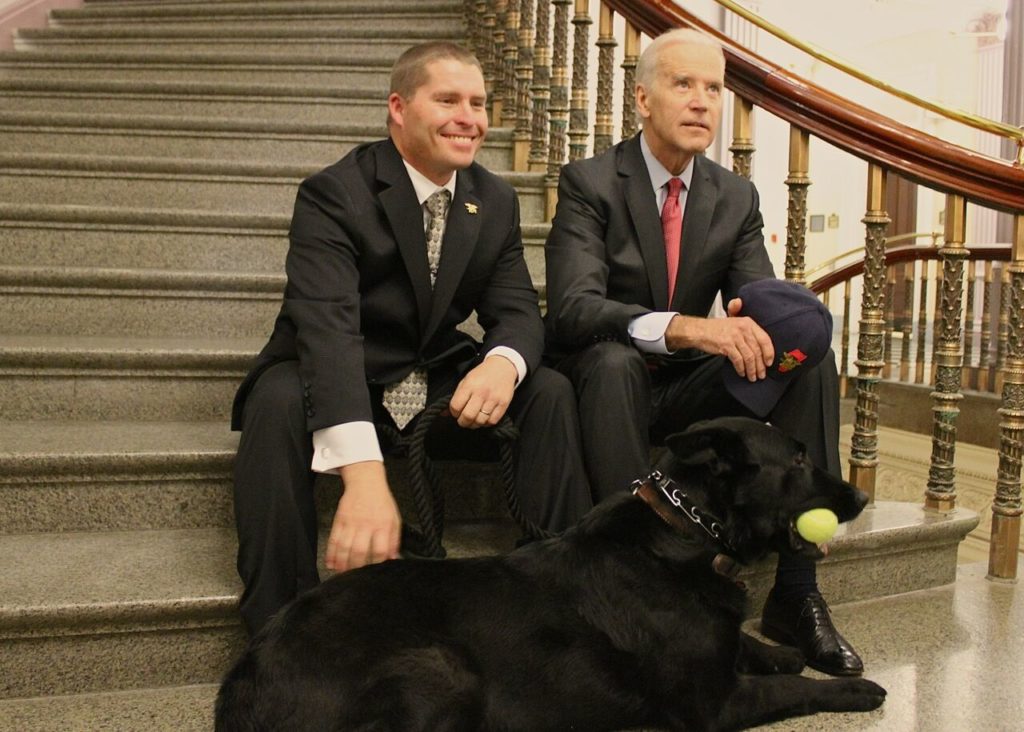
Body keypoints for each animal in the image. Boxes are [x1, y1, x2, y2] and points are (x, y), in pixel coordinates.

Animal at [214, 417, 880, 732]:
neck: (684, 529)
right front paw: (855, 691)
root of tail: (242, 686)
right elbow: (798, 690)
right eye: (798, 459)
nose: (861, 497)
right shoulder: (715, 705)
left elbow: (747, 642)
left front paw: (779, 650)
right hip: (443, 668)